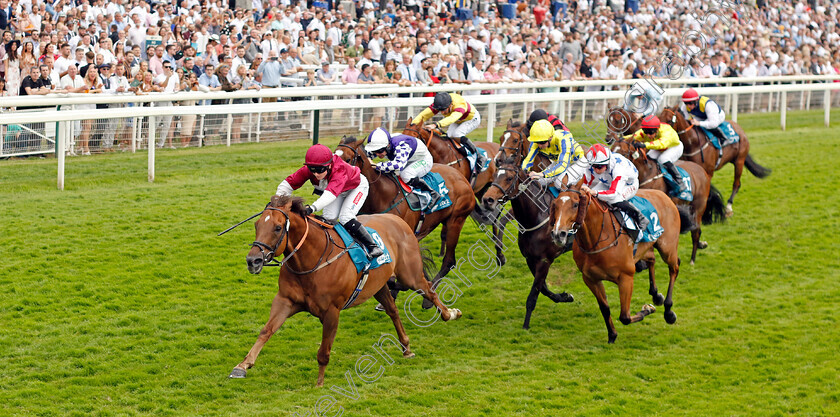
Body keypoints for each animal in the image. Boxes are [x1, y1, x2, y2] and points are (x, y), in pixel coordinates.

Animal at [230, 197, 462, 386]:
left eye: (278, 228)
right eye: (257, 224)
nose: (253, 260)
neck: (311, 261)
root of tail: (397, 220)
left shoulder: (332, 311)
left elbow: (324, 351)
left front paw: (320, 383)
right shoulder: (285, 301)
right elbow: (266, 331)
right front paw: (242, 366)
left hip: (410, 274)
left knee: (429, 291)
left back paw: (450, 314)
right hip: (378, 285)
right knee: (393, 311)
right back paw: (406, 347)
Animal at [482, 119, 576, 328]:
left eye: (509, 178)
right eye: (501, 137)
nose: (487, 199)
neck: (538, 216)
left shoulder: (544, 260)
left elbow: (534, 294)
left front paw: (525, 326)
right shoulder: (531, 259)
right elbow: (543, 288)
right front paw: (564, 296)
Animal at [552, 188, 684, 342]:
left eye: (575, 205)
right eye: (555, 205)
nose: (558, 234)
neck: (596, 240)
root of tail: (662, 193)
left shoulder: (626, 278)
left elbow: (625, 317)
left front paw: (647, 309)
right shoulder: (590, 279)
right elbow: (605, 308)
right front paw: (612, 334)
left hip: (667, 248)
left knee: (674, 268)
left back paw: (669, 312)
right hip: (644, 249)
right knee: (652, 259)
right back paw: (656, 295)